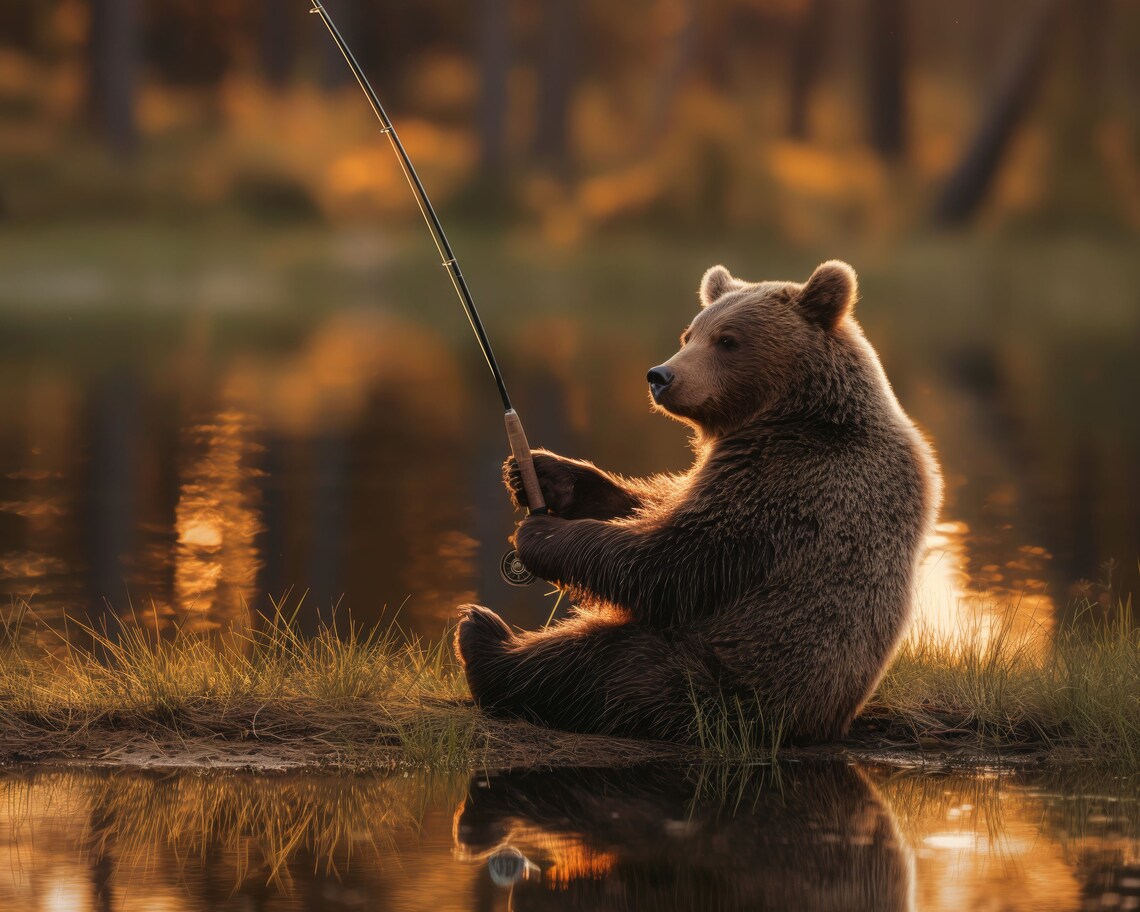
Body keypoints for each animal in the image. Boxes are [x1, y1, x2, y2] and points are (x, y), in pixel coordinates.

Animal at [455, 260, 941, 743]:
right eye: (689, 334)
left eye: (727, 340)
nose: (660, 376)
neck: (795, 411)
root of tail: (825, 724)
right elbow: (654, 504)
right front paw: (545, 473)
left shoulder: (792, 482)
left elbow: (675, 557)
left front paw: (541, 534)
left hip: (730, 678)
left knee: (595, 665)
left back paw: (484, 636)